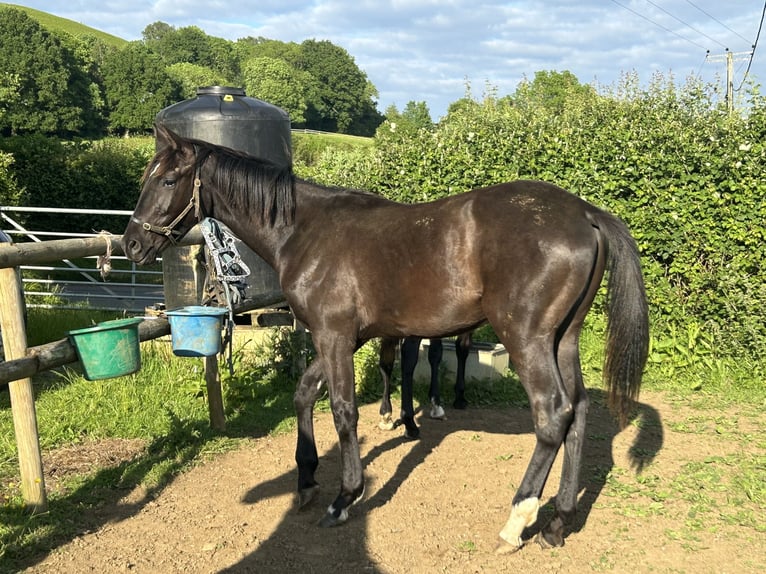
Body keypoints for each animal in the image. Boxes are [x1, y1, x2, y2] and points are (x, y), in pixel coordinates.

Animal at [124, 126, 648, 552]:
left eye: (167, 180)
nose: (132, 243)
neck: (305, 232)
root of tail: (585, 213)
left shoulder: (334, 336)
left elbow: (342, 410)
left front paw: (345, 496)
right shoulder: (344, 338)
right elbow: (304, 393)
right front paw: (307, 479)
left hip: (528, 340)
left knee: (553, 413)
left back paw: (517, 521)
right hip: (564, 339)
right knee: (579, 412)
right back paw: (558, 522)